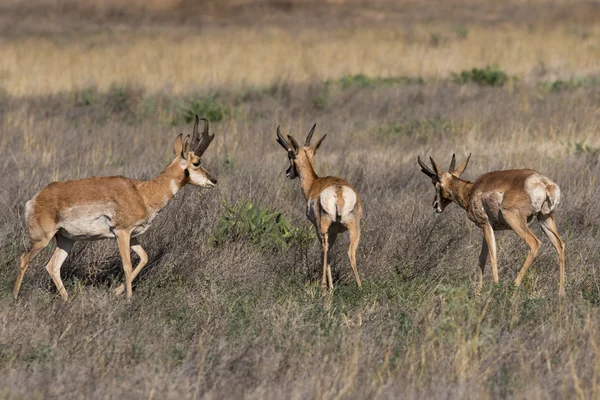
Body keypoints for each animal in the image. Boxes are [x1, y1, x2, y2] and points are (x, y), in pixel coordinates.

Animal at [13, 115, 218, 300]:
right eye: (196, 163)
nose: (214, 180)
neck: (141, 193)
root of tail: (36, 198)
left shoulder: (133, 235)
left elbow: (144, 258)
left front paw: (117, 291)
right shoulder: (122, 233)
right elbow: (127, 264)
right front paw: (128, 298)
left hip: (66, 239)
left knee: (52, 266)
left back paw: (67, 299)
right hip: (42, 239)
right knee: (24, 260)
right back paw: (15, 297)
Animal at [276, 124, 360, 294]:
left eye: (289, 156)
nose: (288, 173)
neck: (314, 183)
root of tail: (338, 191)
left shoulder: (318, 228)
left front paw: (329, 287)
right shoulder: (334, 232)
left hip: (323, 228)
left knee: (325, 250)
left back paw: (323, 288)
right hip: (354, 229)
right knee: (351, 253)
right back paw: (361, 287)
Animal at [418, 155, 568, 296]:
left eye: (434, 182)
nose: (435, 205)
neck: (471, 190)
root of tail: (545, 184)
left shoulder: (485, 224)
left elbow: (492, 255)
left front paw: (494, 286)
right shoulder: (487, 228)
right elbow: (482, 258)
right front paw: (478, 292)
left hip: (515, 221)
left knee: (535, 243)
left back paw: (514, 285)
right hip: (545, 219)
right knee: (560, 244)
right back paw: (561, 292)